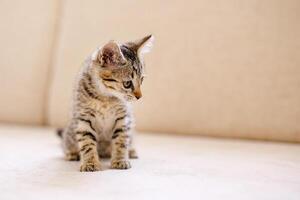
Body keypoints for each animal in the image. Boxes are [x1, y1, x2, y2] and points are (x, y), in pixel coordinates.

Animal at [58, 34, 154, 172]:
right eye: (127, 84)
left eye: (141, 80)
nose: (139, 97)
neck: (105, 98)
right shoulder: (83, 118)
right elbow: (87, 142)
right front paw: (90, 163)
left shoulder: (123, 118)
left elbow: (121, 141)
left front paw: (120, 160)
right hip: (70, 130)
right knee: (66, 143)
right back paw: (72, 153)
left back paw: (131, 151)